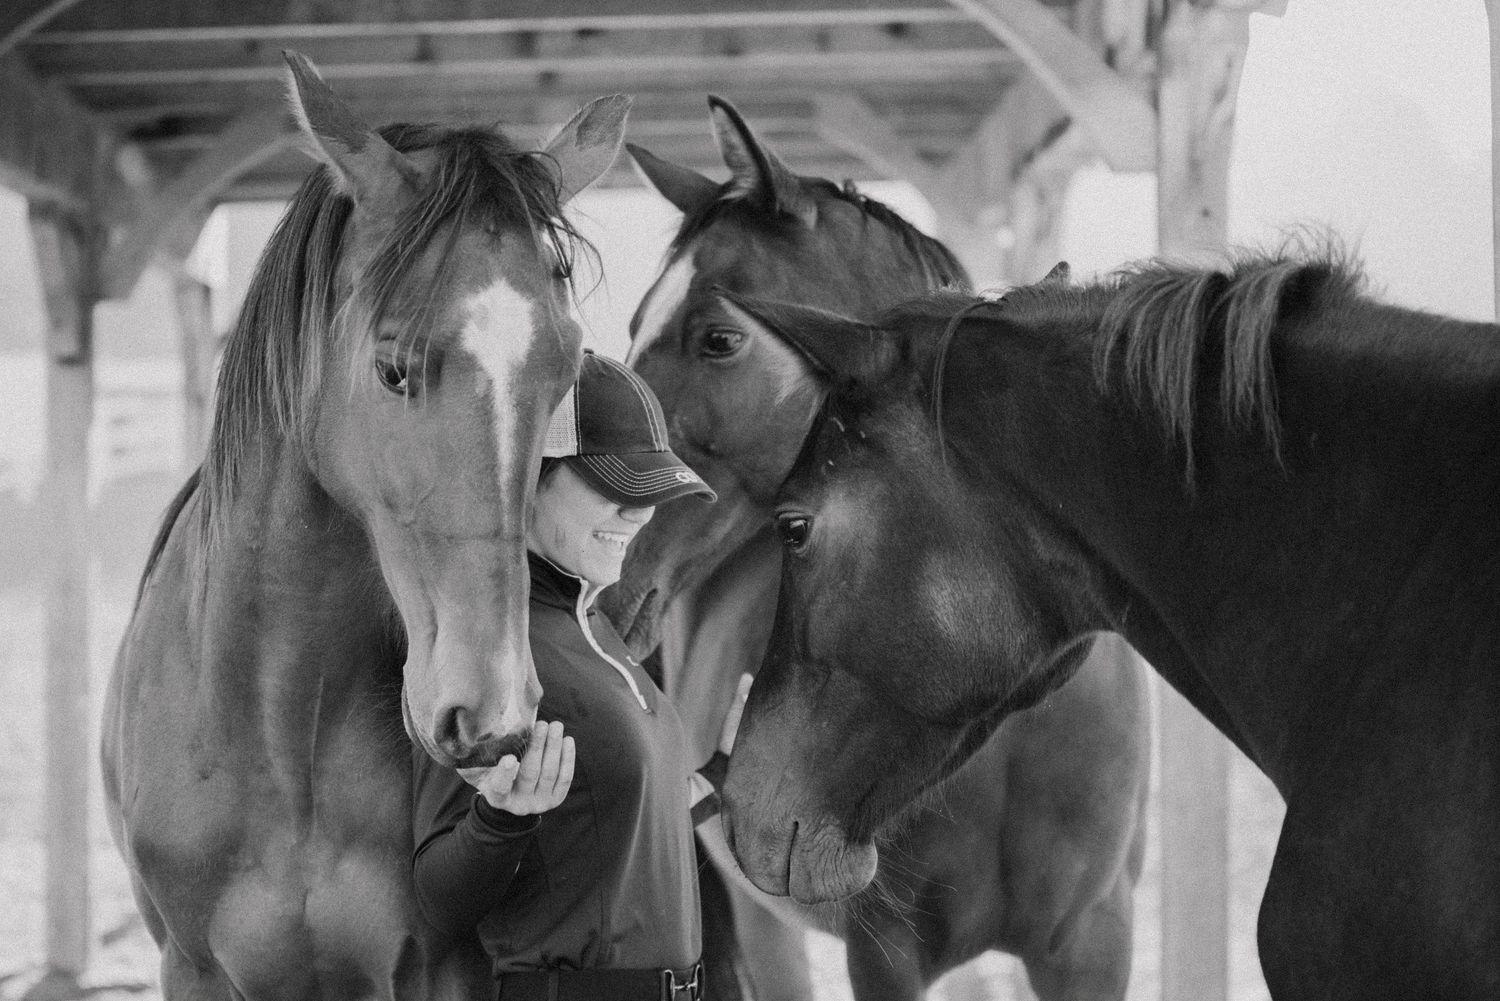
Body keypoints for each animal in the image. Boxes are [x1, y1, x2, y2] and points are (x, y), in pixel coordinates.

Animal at [101, 53, 629, 1001]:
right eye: (392, 367)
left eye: (566, 370)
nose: (493, 715)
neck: (281, 736)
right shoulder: (190, 968)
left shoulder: (441, 965)